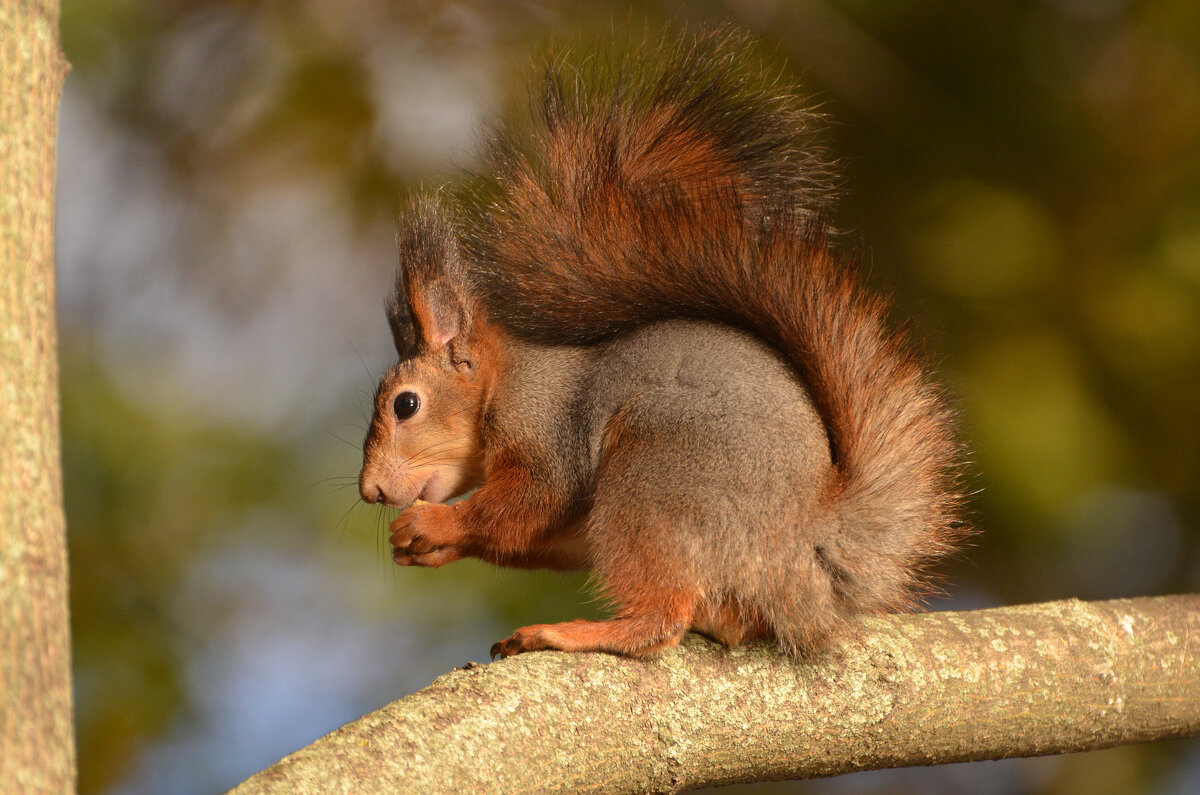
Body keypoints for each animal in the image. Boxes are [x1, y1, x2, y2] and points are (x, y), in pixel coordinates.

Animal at [355, 29, 964, 658]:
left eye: (406, 405)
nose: (371, 491)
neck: (505, 383)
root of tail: (807, 554)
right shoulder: (573, 525)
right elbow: (541, 535)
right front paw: (432, 547)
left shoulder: (547, 428)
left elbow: (534, 499)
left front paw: (434, 525)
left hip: (653, 483)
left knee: (660, 620)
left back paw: (565, 632)